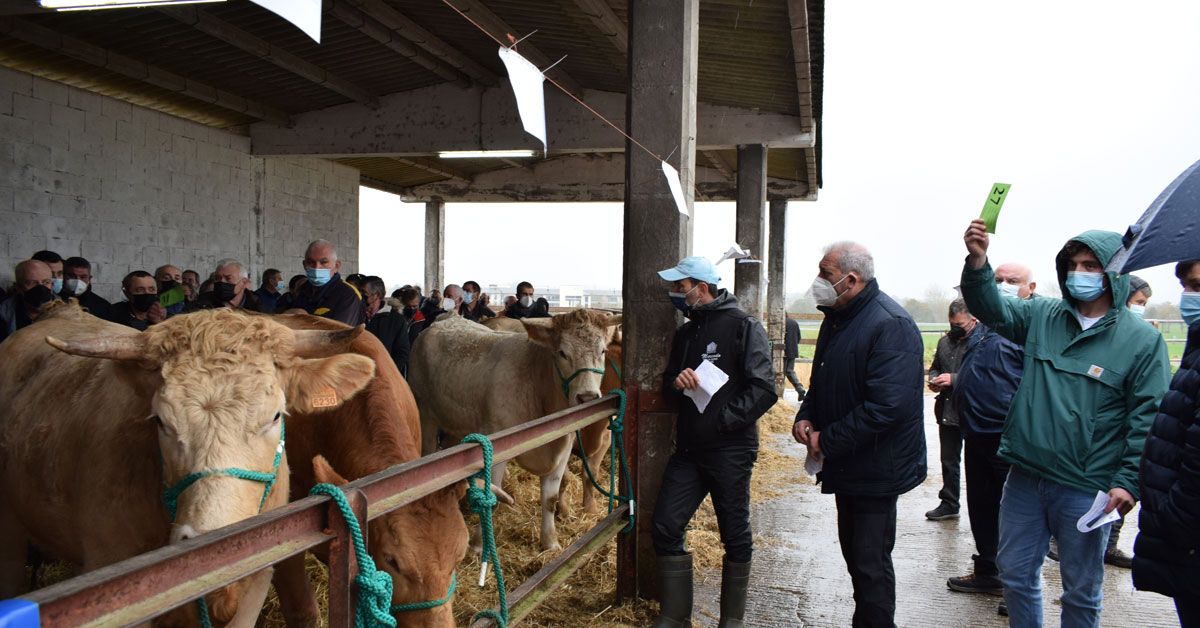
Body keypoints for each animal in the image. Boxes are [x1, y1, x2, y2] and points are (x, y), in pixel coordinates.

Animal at [410, 309, 619, 549]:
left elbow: (550, 498)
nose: (587, 397)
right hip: (425, 412)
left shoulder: (563, 446)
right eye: (562, 353)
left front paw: (550, 543)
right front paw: (479, 545)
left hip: (456, 424)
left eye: (603, 351)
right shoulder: (496, 449)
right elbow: (491, 496)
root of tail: (448, 317)